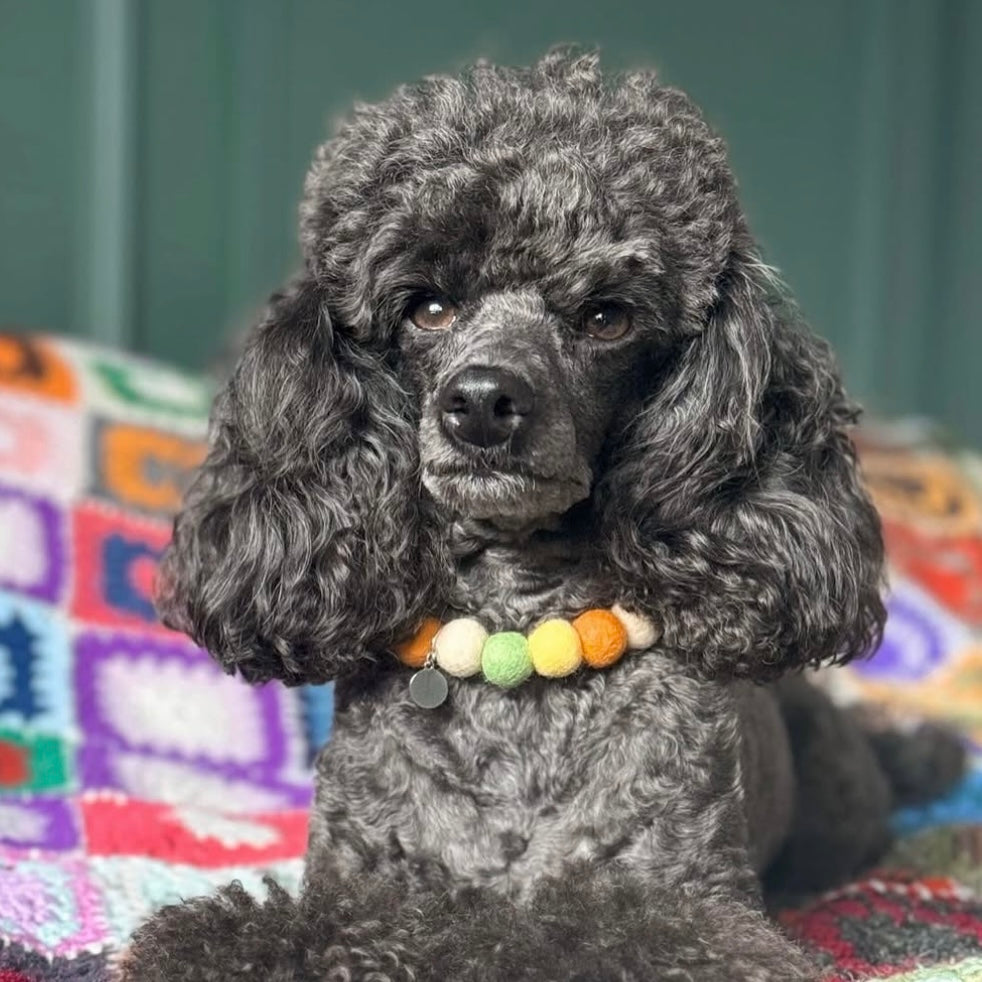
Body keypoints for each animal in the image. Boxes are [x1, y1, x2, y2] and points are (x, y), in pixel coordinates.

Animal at [119, 50, 964, 980]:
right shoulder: (363, 874)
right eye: (428, 307)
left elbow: (563, 930)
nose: (482, 403)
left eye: (605, 317)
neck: (516, 629)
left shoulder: (691, 909)